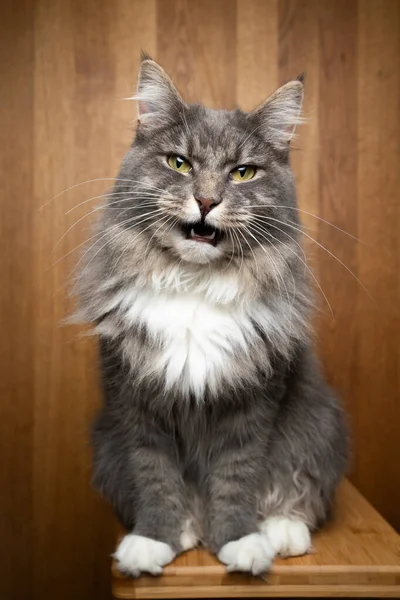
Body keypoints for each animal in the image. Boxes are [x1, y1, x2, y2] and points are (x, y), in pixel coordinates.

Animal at [75, 55, 346, 576]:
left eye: (242, 173)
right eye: (179, 163)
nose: (205, 201)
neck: (195, 287)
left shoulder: (253, 403)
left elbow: (236, 479)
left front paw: (240, 542)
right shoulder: (136, 403)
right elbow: (155, 477)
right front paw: (153, 541)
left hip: (318, 426)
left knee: (298, 491)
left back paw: (281, 532)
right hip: (105, 444)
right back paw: (187, 529)